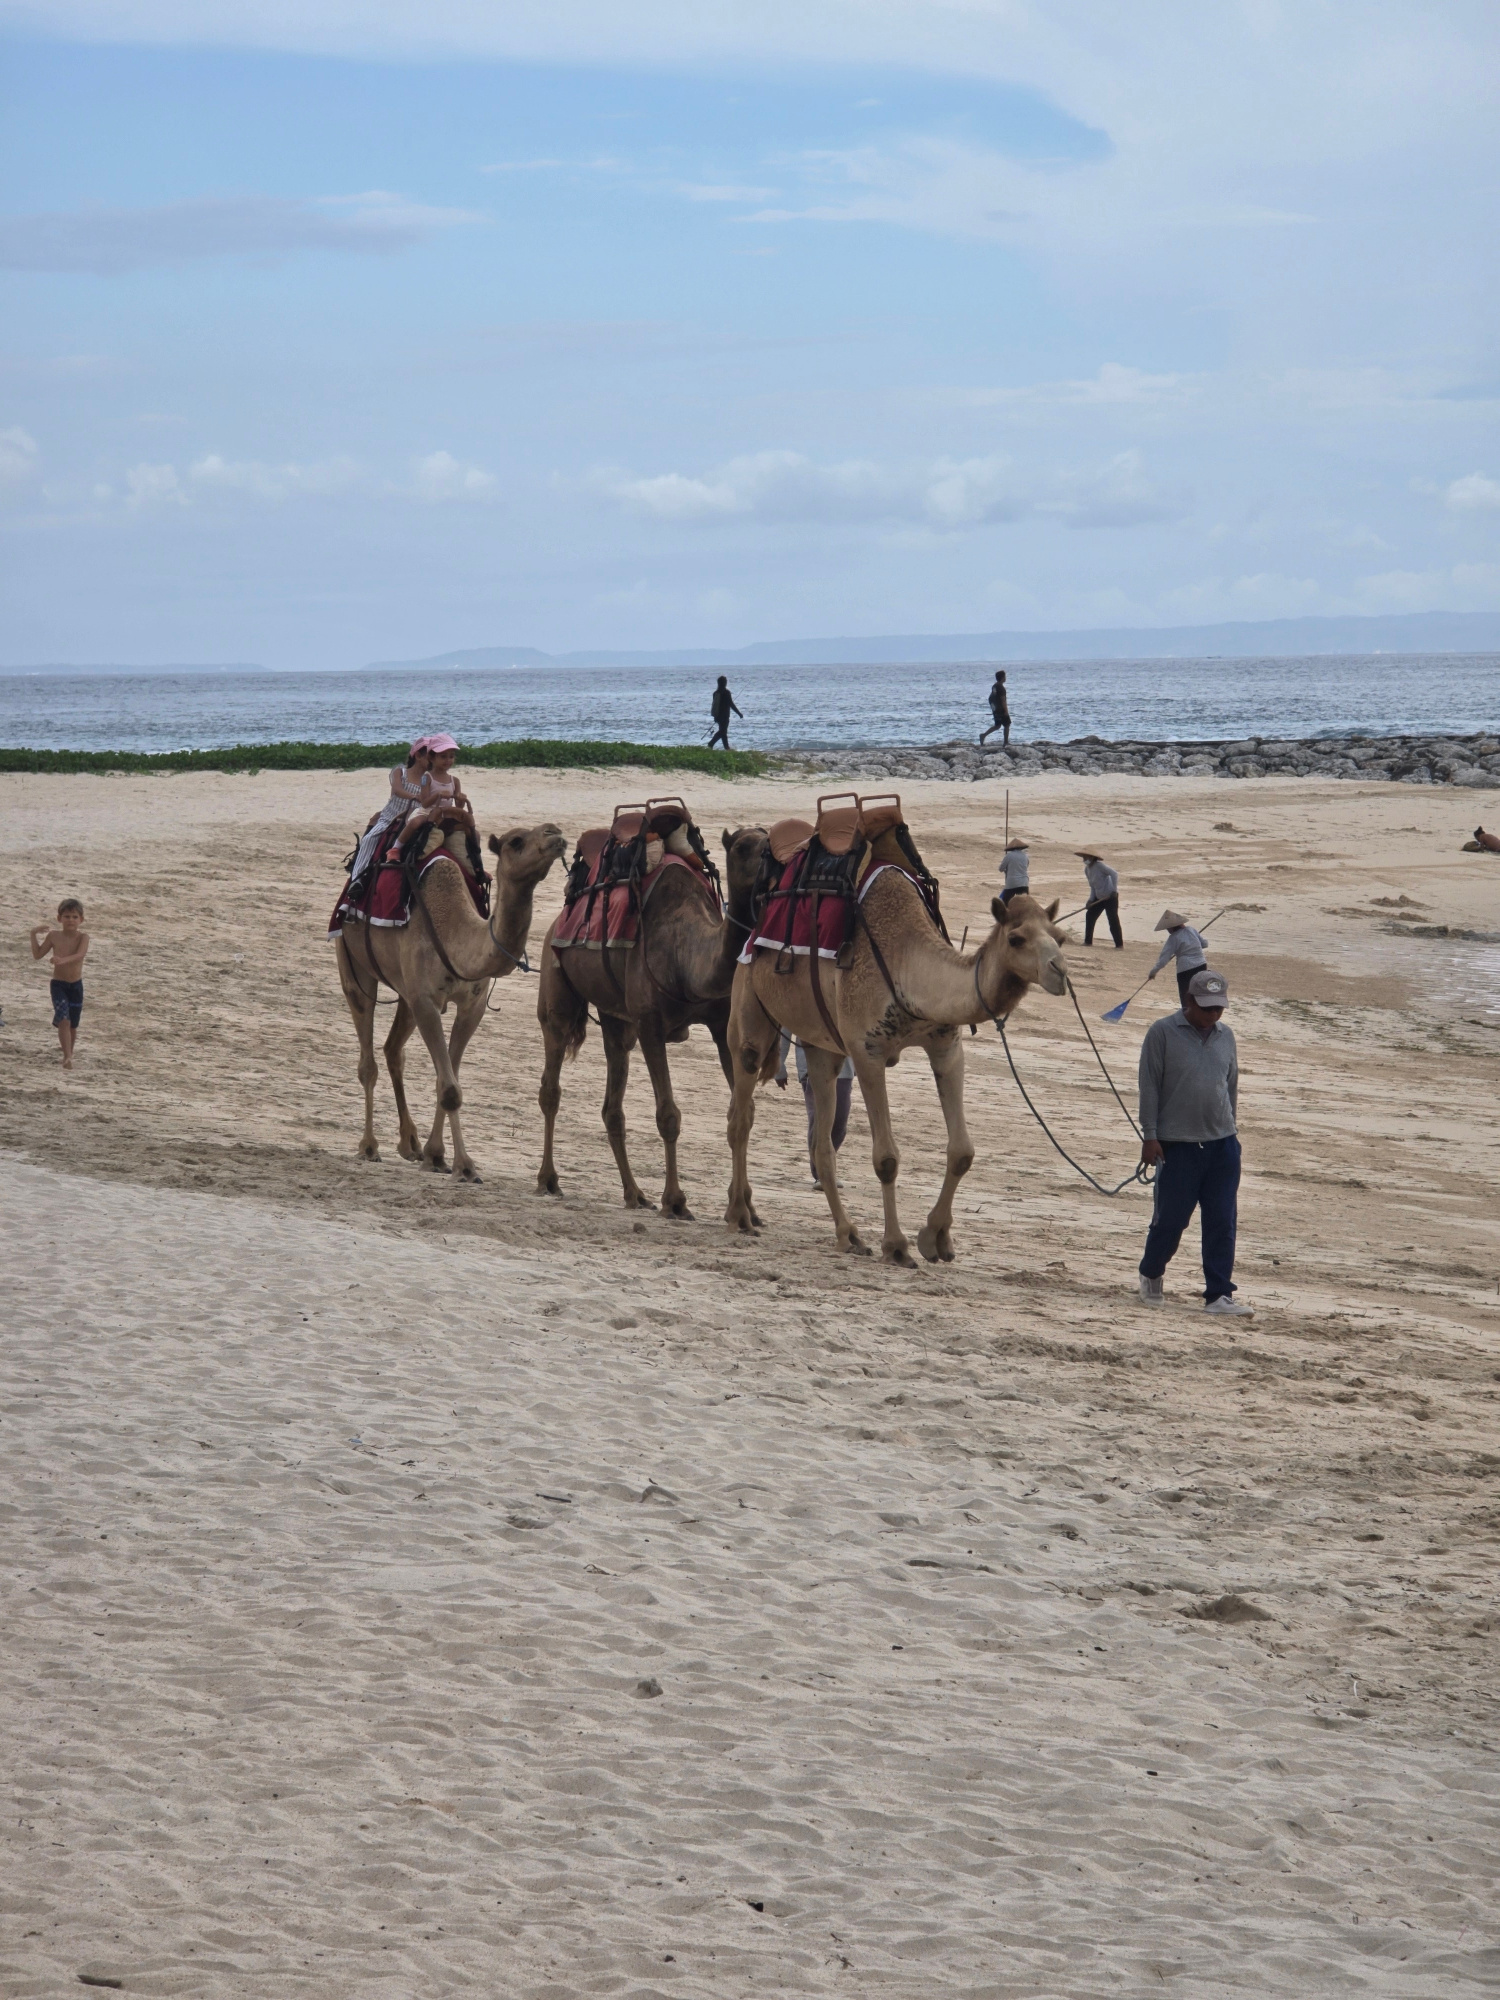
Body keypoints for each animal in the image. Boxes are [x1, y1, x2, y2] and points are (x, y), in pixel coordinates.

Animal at [335, 819, 567, 1181]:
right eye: (516, 841)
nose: (554, 832)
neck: (453, 930)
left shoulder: (471, 1005)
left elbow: (448, 1078)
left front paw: (437, 1155)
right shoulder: (426, 1001)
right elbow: (449, 1089)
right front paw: (465, 1165)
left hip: (405, 994)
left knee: (393, 1050)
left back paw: (410, 1143)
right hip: (353, 964)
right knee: (367, 1059)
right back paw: (370, 1146)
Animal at [535, 824, 771, 1215]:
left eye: (771, 839)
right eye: (741, 847)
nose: (774, 862)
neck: (686, 958)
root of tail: (559, 919)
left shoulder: (721, 1025)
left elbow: (744, 1111)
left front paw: (747, 1208)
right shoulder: (650, 1026)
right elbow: (668, 1115)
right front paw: (675, 1200)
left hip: (616, 1020)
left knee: (612, 1105)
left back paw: (634, 1193)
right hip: (556, 985)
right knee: (551, 1083)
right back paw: (548, 1179)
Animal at [725, 878, 1068, 1264]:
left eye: (1060, 937)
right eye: (1016, 938)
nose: (1059, 971)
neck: (908, 965)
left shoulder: (946, 1046)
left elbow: (962, 1151)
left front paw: (936, 1238)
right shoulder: (868, 1052)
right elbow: (886, 1158)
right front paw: (896, 1245)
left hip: (821, 1046)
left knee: (821, 1143)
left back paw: (849, 1235)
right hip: (748, 1003)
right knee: (741, 1110)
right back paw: (740, 1215)